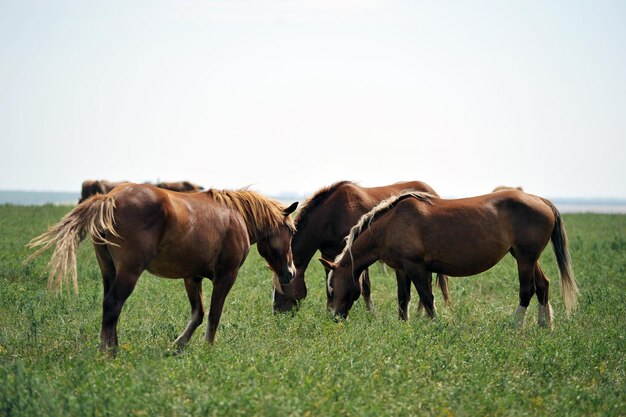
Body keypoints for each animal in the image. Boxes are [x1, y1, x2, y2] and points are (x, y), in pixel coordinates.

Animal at [29, 182, 300, 354]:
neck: (236, 216)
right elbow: (214, 315)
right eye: (290, 231)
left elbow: (198, 314)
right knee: (113, 304)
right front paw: (207, 349)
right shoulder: (225, 276)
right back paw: (108, 353)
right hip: (128, 272)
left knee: (109, 308)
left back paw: (111, 347)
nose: (290, 273)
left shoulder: (192, 277)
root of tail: (109, 198)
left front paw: (178, 346)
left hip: (109, 271)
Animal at [272, 179, 448, 318]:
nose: (277, 314)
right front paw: (329, 312)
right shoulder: (329, 256)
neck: (331, 216)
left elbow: (366, 288)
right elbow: (330, 287)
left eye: (282, 286)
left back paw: (420, 314)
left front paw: (371, 315)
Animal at [324, 188, 576, 324]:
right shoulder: (402, 269)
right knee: (542, 286)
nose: (335, 318)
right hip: (527, 257)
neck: (390, 224)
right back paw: (545, 325)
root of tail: (541, 200)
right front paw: (404, 325)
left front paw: (435, 324)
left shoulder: (416, 267)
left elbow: (427, 298)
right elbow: (403, 299)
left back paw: (515, 325)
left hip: (524, 258)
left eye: (333, 288)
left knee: (527, 290)